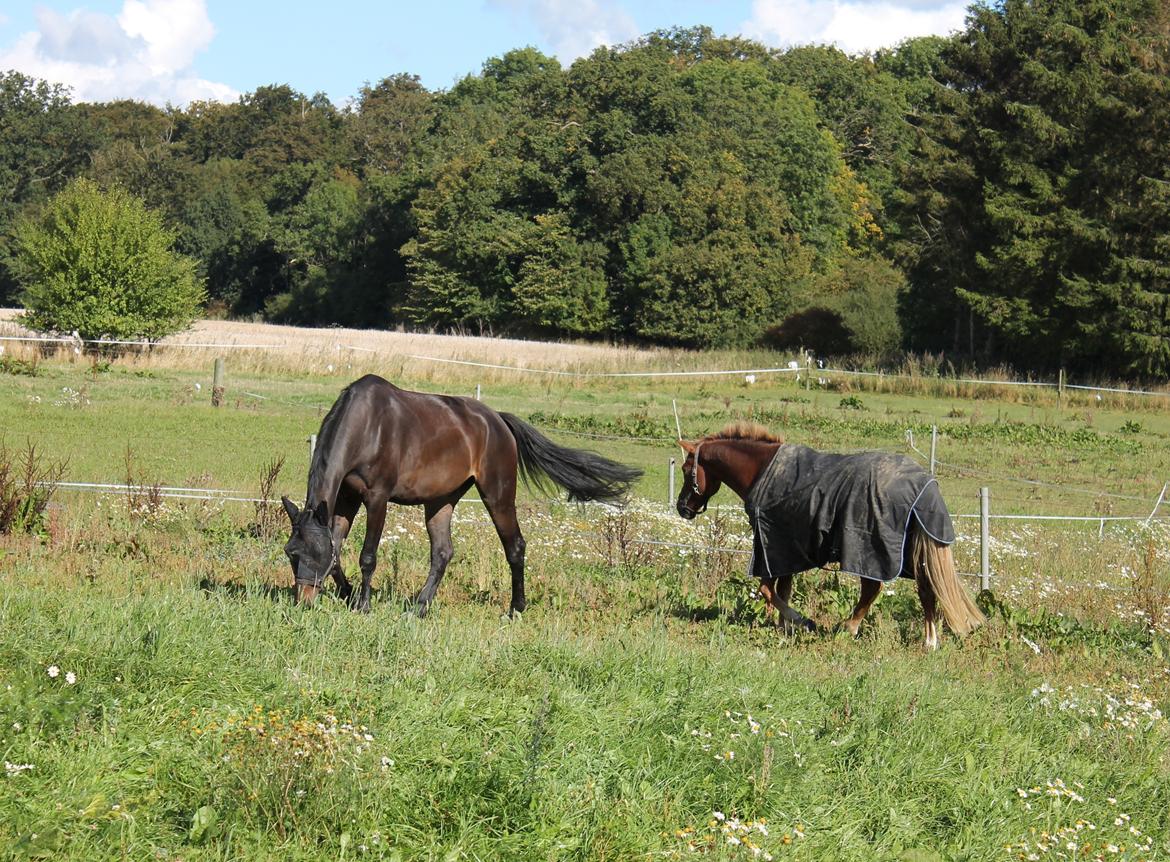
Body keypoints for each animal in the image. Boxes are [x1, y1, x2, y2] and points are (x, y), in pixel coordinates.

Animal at [279, 374, 641, 612]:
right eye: (291, 553)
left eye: (313, 554)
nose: (303, 602)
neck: (367, 426)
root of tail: (498, 422)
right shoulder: (346, 497)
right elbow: (338, 551)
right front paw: (348, 594)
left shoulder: (376, 498)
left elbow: (367, 556)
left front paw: (363, 605)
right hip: (441, 500)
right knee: (442, 552)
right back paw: (419, 607)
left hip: (497, 494)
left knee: (515, 547)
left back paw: (516, 608)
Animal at [673, 423, 982, 645]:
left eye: (687, 469)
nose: (682, 508)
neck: (763, 471)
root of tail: (921, 484)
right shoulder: (786, 550)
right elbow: (783, 589)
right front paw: (784, 628)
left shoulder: (771, 547)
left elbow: (767, 589)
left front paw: (801, 622)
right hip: (911, 553)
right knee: (926, 587)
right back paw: (929, 642)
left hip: (870, 551)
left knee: (873, 589)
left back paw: (850, 628)